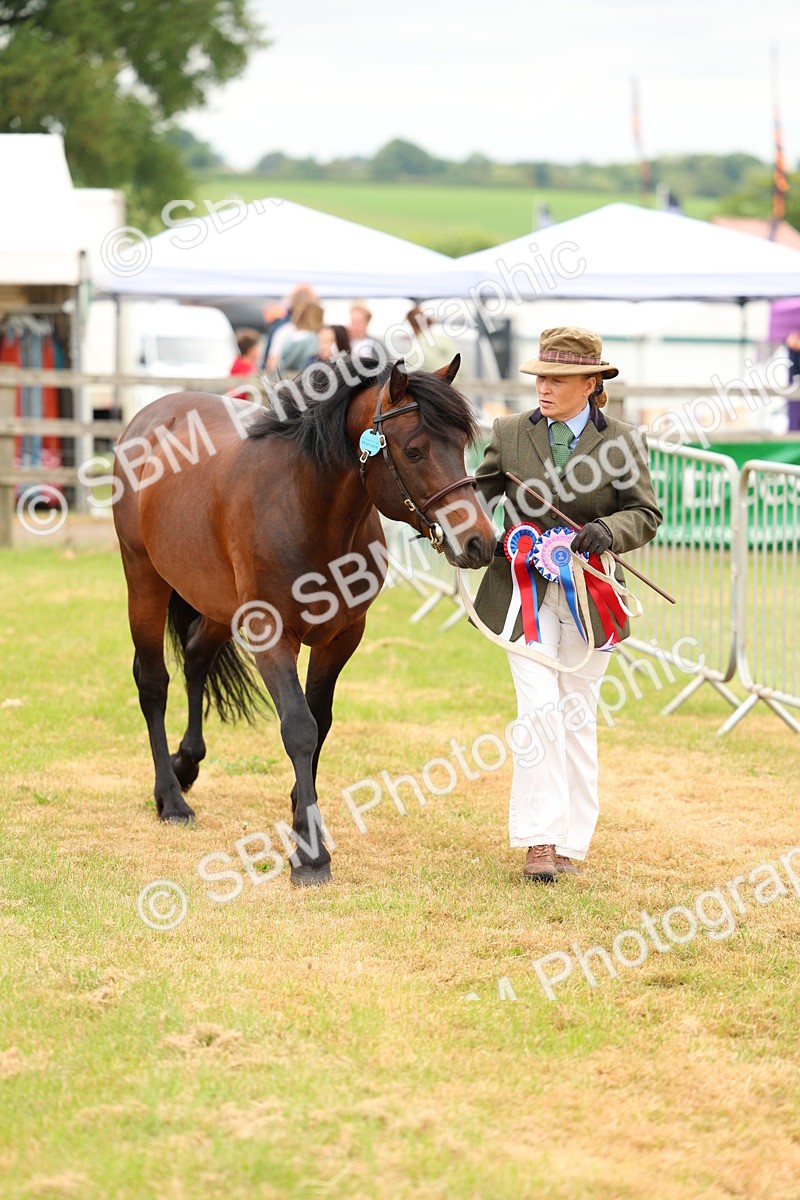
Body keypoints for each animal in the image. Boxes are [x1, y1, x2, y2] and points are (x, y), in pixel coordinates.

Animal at [112, 354, 496, 885]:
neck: (306, 510)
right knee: (152, 682)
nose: (480, 543)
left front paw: (300, 816)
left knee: (196, 658)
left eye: (462, 446)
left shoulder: (341, 637)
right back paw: (170, 798)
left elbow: (322, 722)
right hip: (144, 579)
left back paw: (187, 765)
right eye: (415, 451)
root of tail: (153, 414)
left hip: (217, 603)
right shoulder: (270, 635)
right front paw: (312, 853)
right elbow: (299, 727)